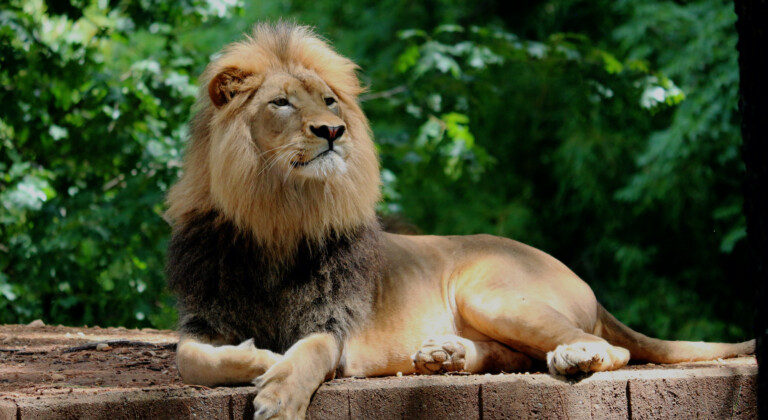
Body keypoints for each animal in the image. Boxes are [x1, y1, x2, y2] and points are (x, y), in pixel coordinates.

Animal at [165, 23, 752, 420]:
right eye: (281, 103)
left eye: (330, 101)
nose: (332, 130)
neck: (276, 217)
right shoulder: (204, 319)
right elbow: (190, 359)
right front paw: (261, 356)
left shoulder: (334, 325)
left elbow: (306, 350)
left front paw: (279, 390)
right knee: (515, 357)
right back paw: (444, 354)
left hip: (490, 293)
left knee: (614, 350)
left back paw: (571, 355)